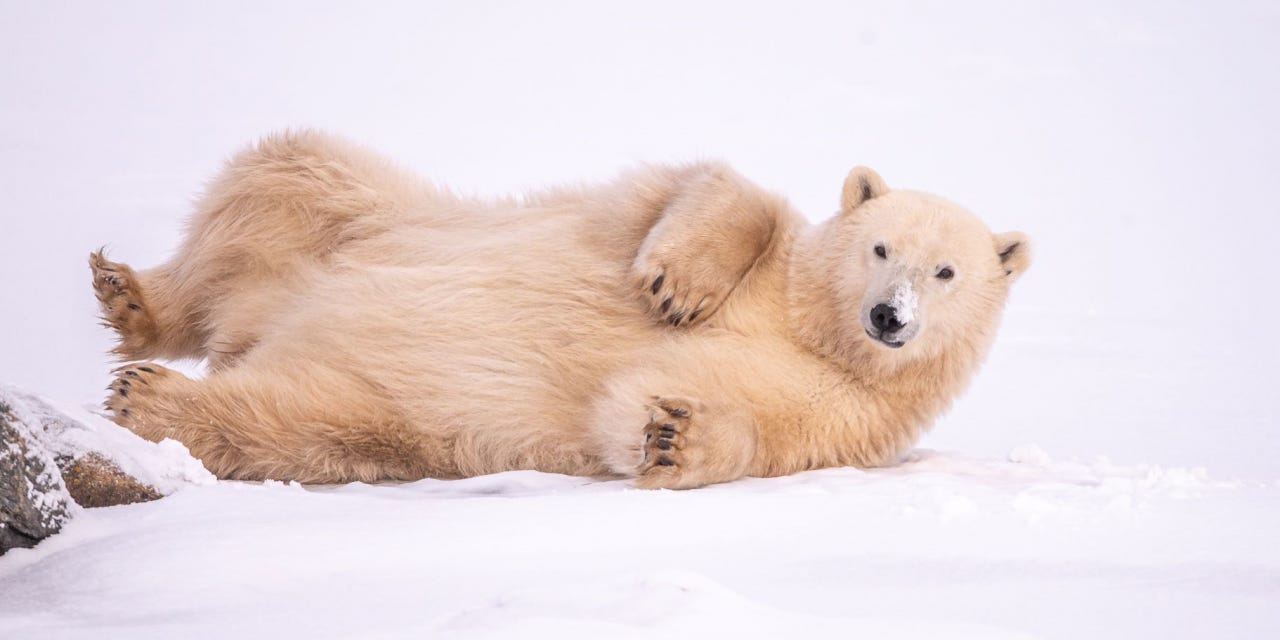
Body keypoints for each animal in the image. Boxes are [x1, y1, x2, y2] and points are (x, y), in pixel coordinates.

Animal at [90, 131, 1030, 490]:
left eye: (947, 271)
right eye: (881, 250)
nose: (889, 318)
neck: (816, 328)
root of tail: (258, 324)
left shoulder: (844, 411)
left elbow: (731, 423)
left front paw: (673, 435)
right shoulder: (755, 256)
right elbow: (717, 190)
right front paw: (677, 287)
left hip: (379, 413)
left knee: (281, 420)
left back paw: (152, 396)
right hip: (372, 214)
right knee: (279, 174)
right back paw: (134, 301)